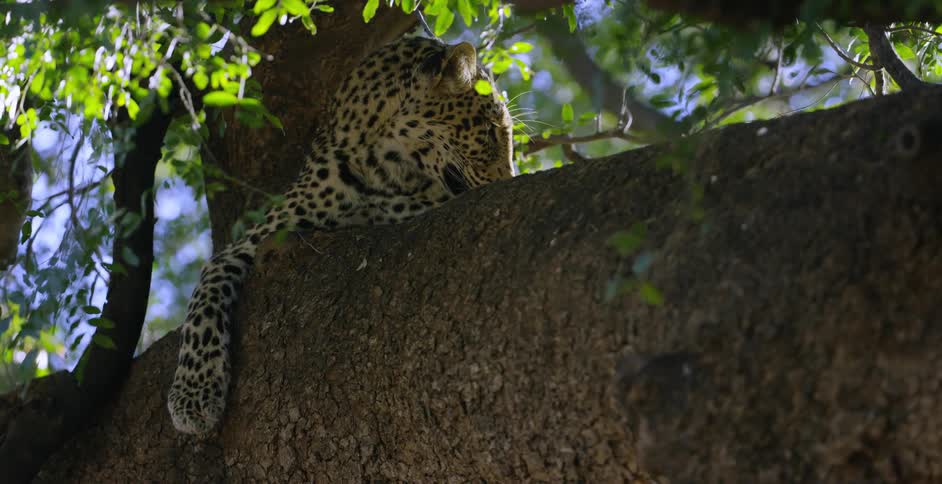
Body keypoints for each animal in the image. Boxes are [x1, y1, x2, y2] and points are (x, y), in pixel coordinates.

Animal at [167, 36, 515, 434]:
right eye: (489, 131)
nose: (510, 180)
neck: (381, 161)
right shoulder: (260, 236)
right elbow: (206, 288)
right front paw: (193, 393)